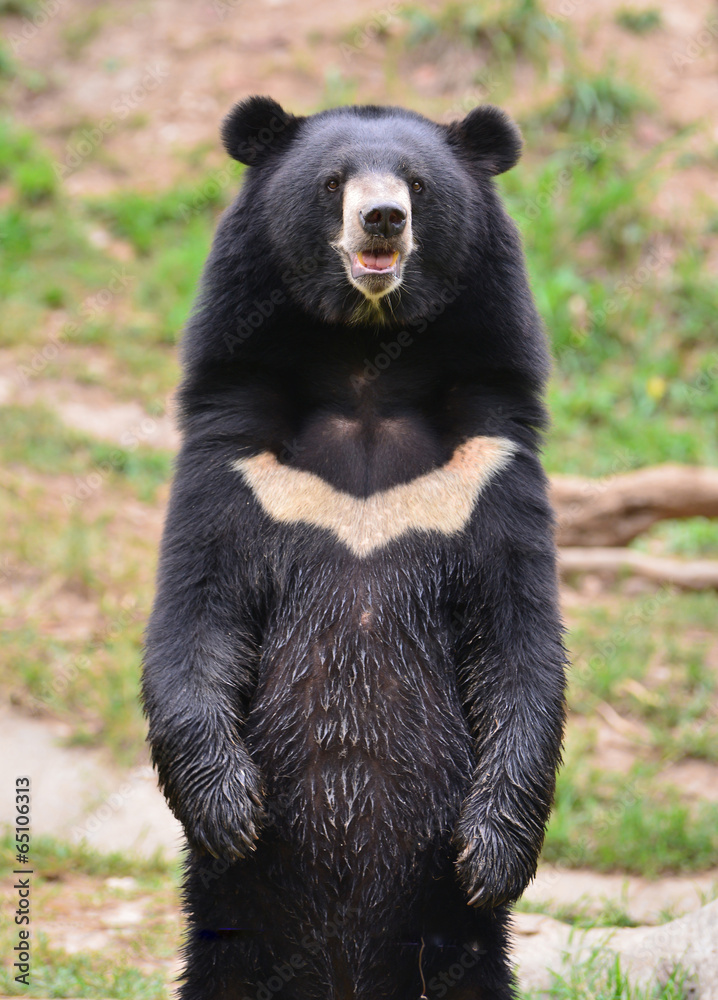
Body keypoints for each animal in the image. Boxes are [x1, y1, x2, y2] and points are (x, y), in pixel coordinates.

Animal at [142, 96, 567, 1000]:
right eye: (334, 181)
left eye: (416, 184)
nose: (383, 219)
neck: (366, 365)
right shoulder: (234, 462)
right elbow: (194, 618)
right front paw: (231, 810)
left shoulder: (489, 467)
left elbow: (520, 642)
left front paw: (492, 856)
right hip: (234, 925)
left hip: (452, 938)